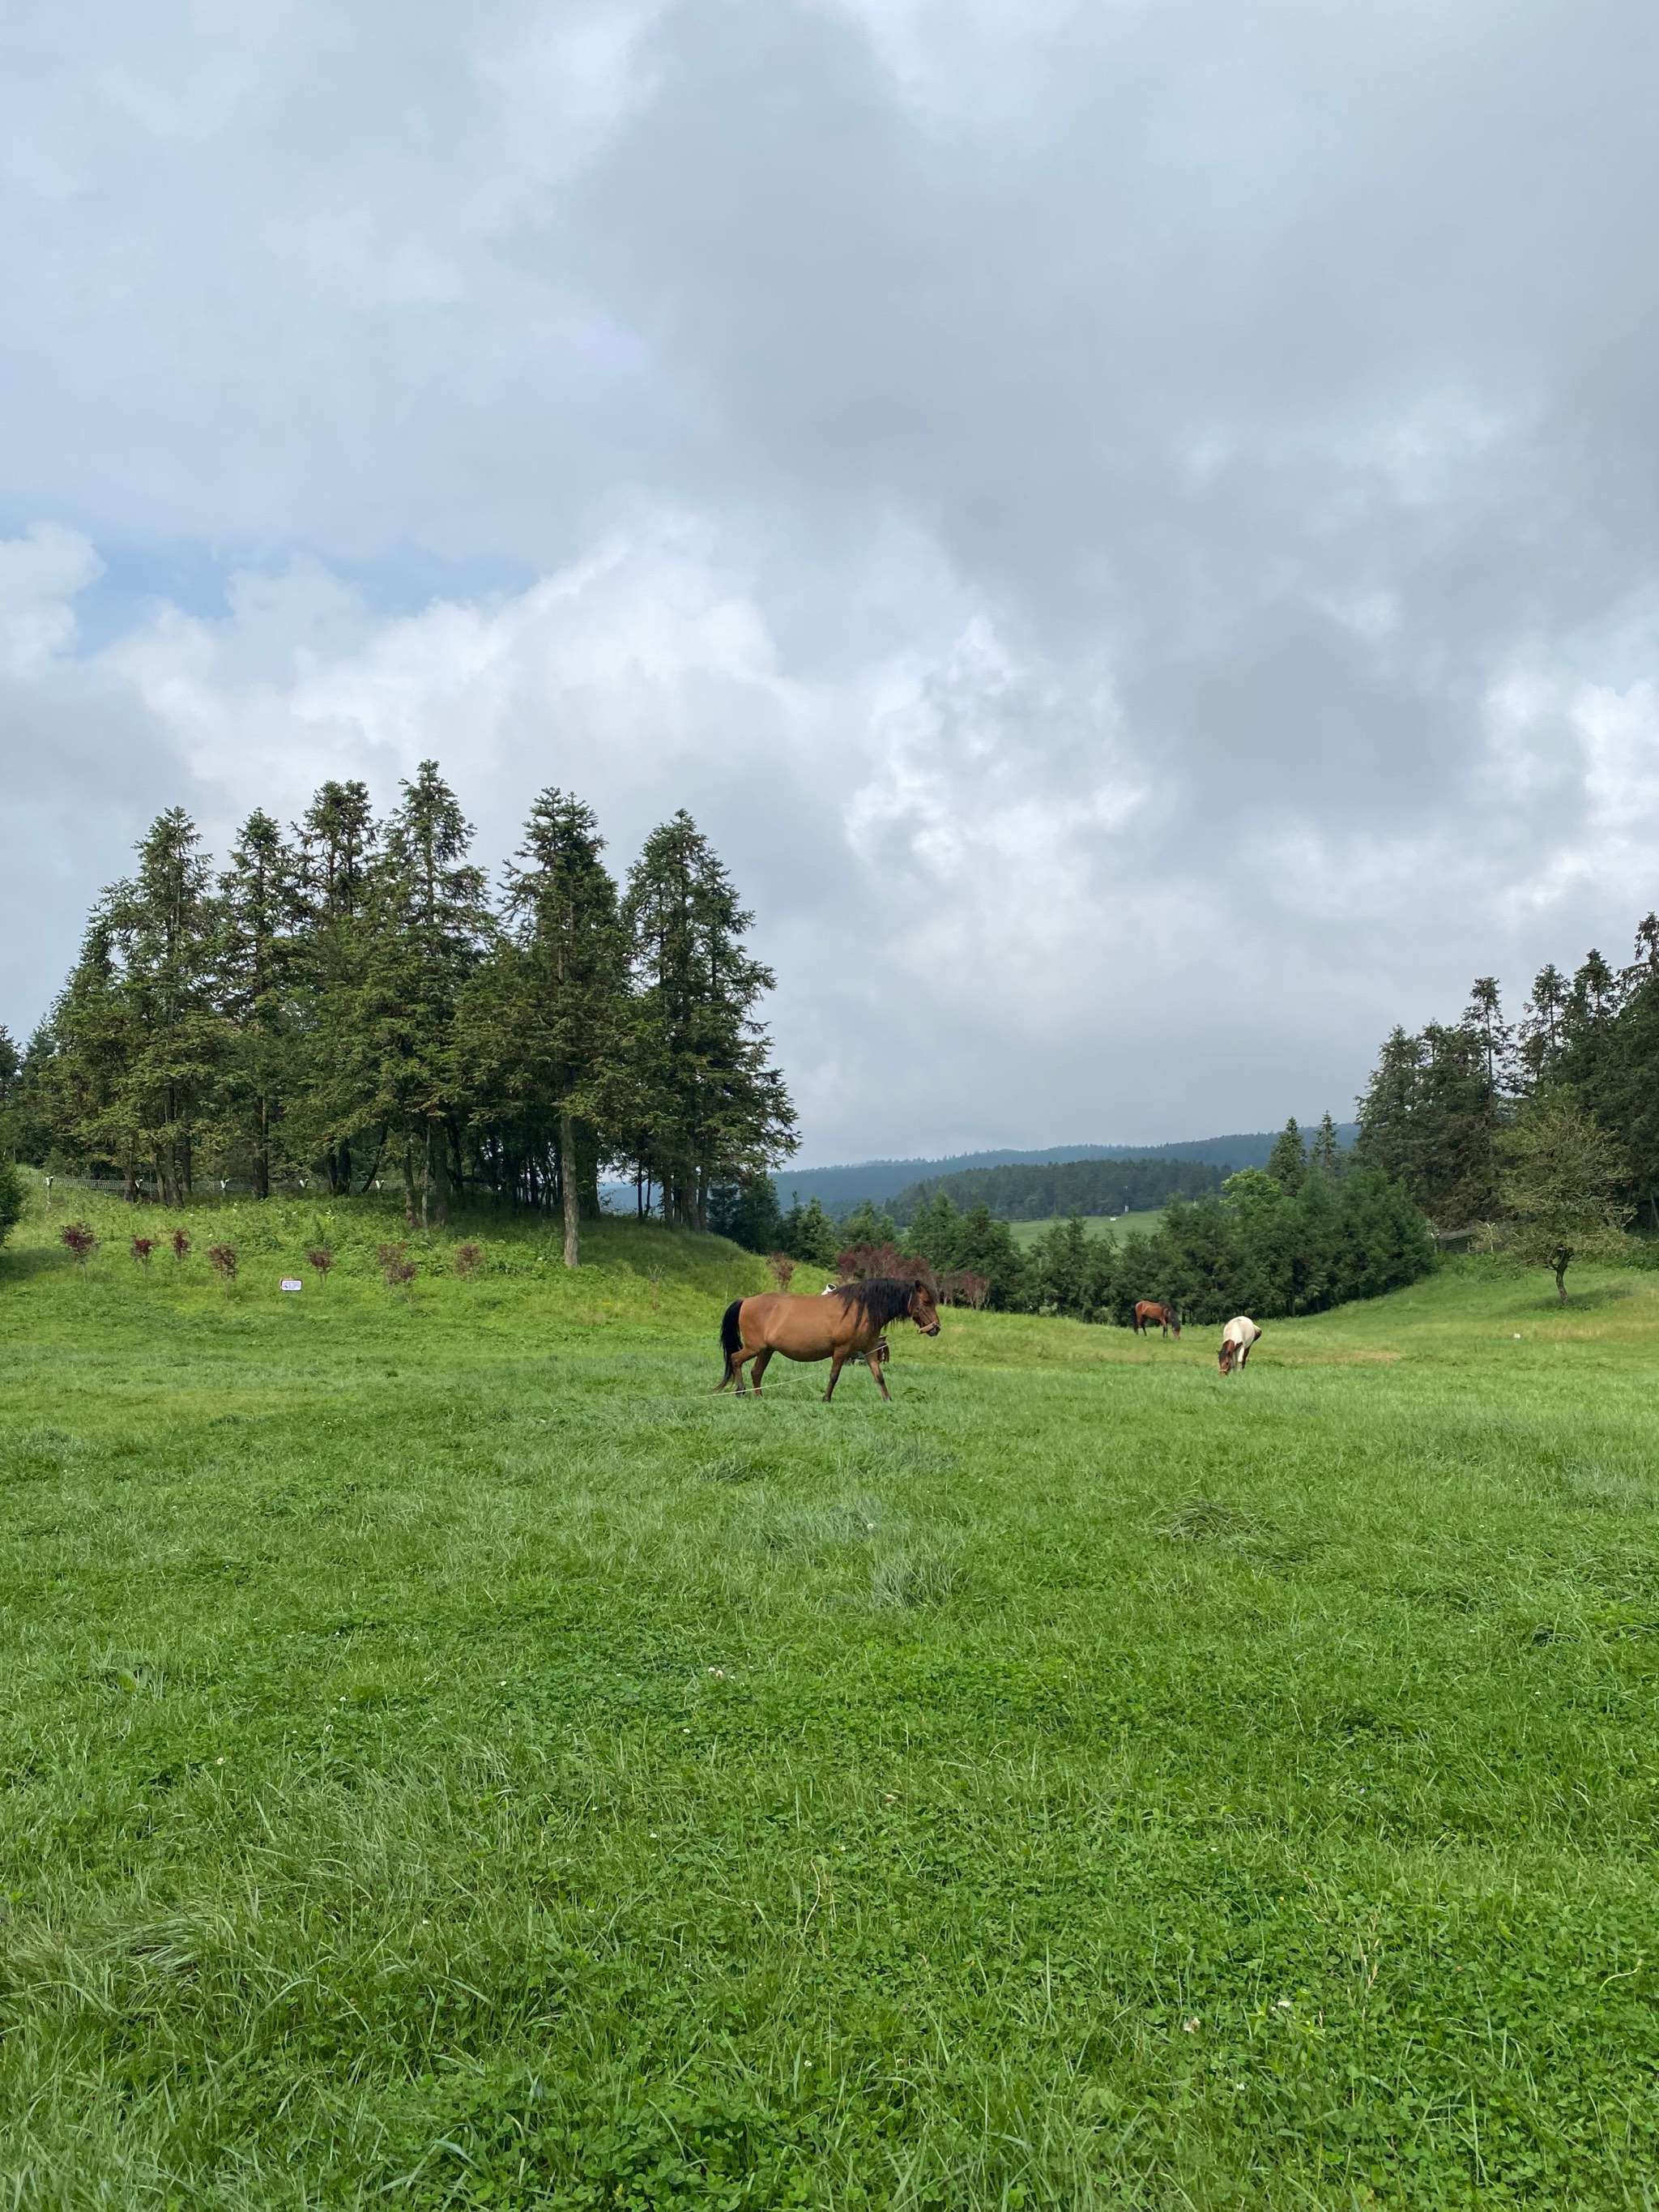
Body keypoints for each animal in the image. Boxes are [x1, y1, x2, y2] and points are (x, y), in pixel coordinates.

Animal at [716, 1274, 942, 1389]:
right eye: (927, 1302)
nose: (936, 1328)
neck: (861, 1309)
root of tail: (745, 1300)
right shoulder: (841, 1351)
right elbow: (834, 1376)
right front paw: (826, 1399)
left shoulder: (869, 1350)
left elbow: (879, 1377)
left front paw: (888, 1400)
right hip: (755, 1348)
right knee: (736, 1359)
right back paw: (740, 1391)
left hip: (767, 1350)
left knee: (756, 1372)